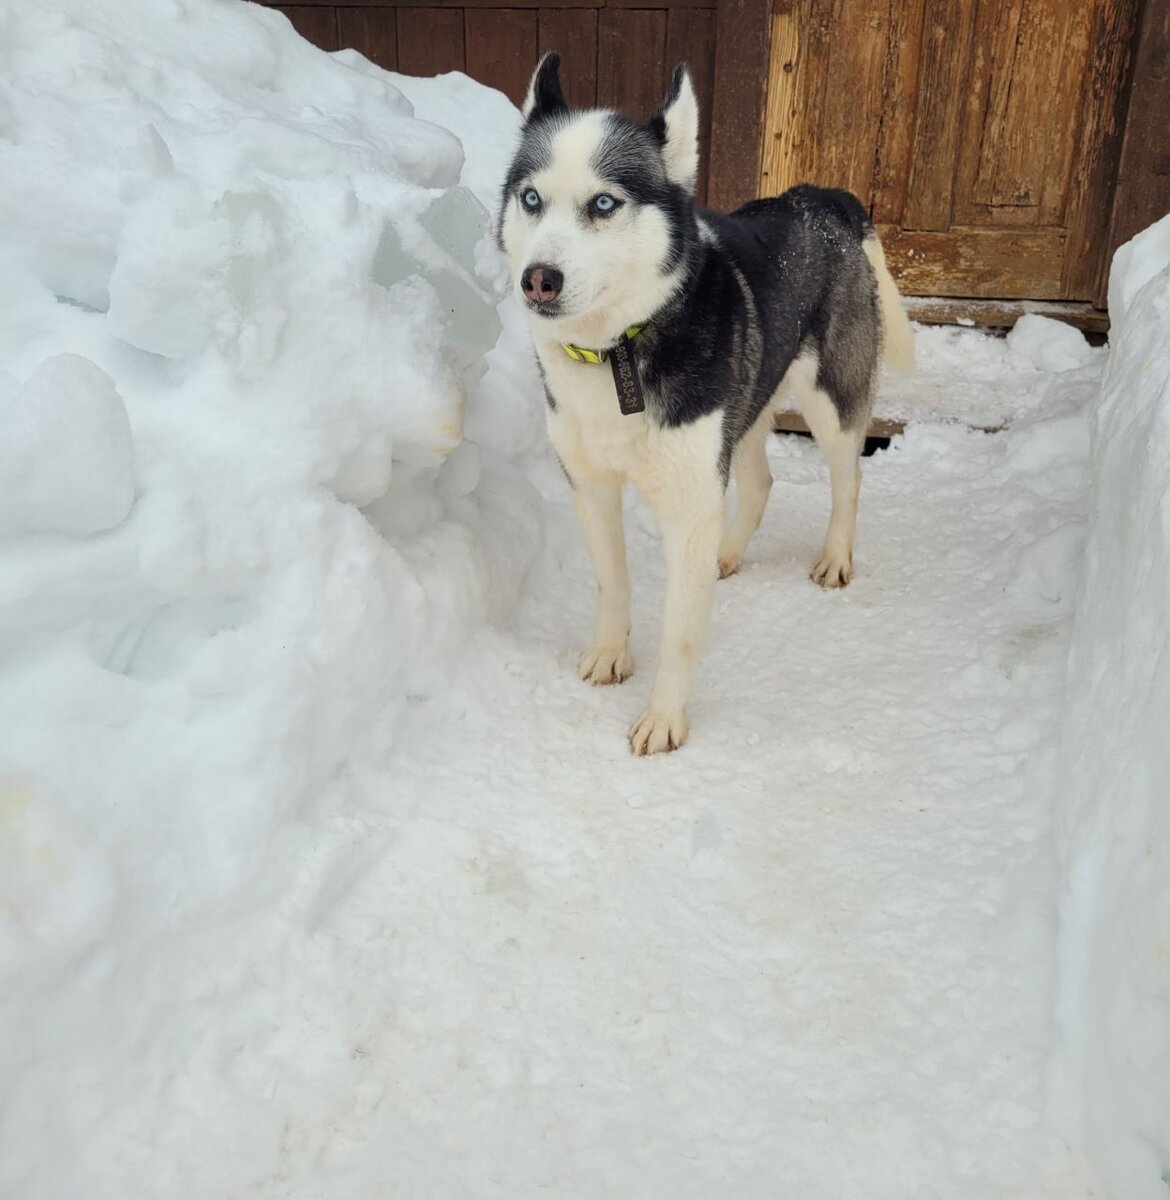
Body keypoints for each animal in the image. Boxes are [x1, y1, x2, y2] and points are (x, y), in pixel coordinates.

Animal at [499, 56, 921, 753]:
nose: (539, 279)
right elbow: (612, 580)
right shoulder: (590, 486)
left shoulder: (690, 499)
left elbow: (680, 631)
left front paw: (664, 718)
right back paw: (727, 552)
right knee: (760, 480)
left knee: (848, 480)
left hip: (829, 402)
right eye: (531, 199)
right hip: (743, 405)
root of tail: (819, 197)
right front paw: (611, 654)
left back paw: (835, 556)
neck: (618, 349)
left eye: (604, 203)